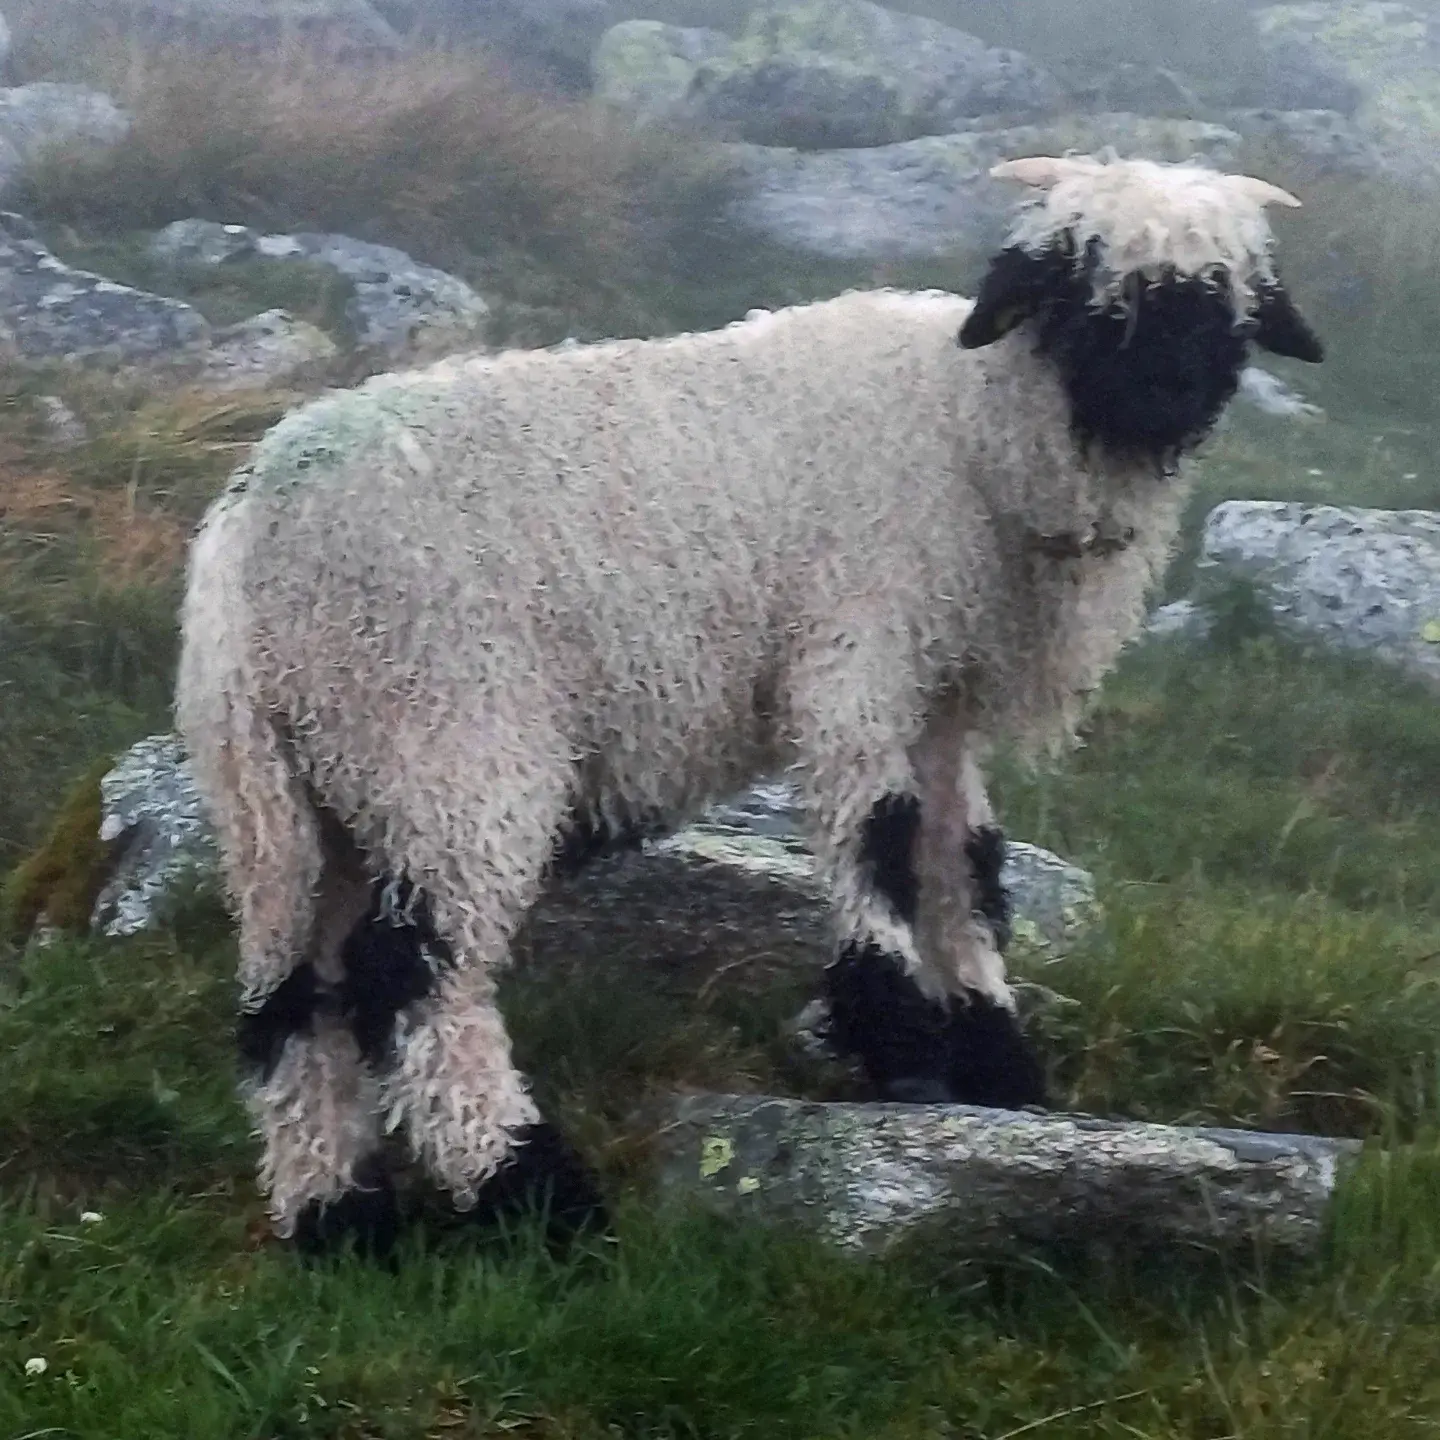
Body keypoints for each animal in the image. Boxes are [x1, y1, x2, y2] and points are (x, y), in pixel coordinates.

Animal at [175, 153, 1324, 1257]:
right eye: (1083, 292)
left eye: (1227, 303)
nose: (1167, 396)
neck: (969, 430)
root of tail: (244, 545)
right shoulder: (858, 656)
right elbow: (882, 842)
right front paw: (900, 1041)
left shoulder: (938, 701)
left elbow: (963, 866)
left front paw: (995, 1060)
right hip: (445, 742)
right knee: (410, 982)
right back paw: (529, 1193)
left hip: (298, 795)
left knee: (293, 1000)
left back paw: (339, 1220)